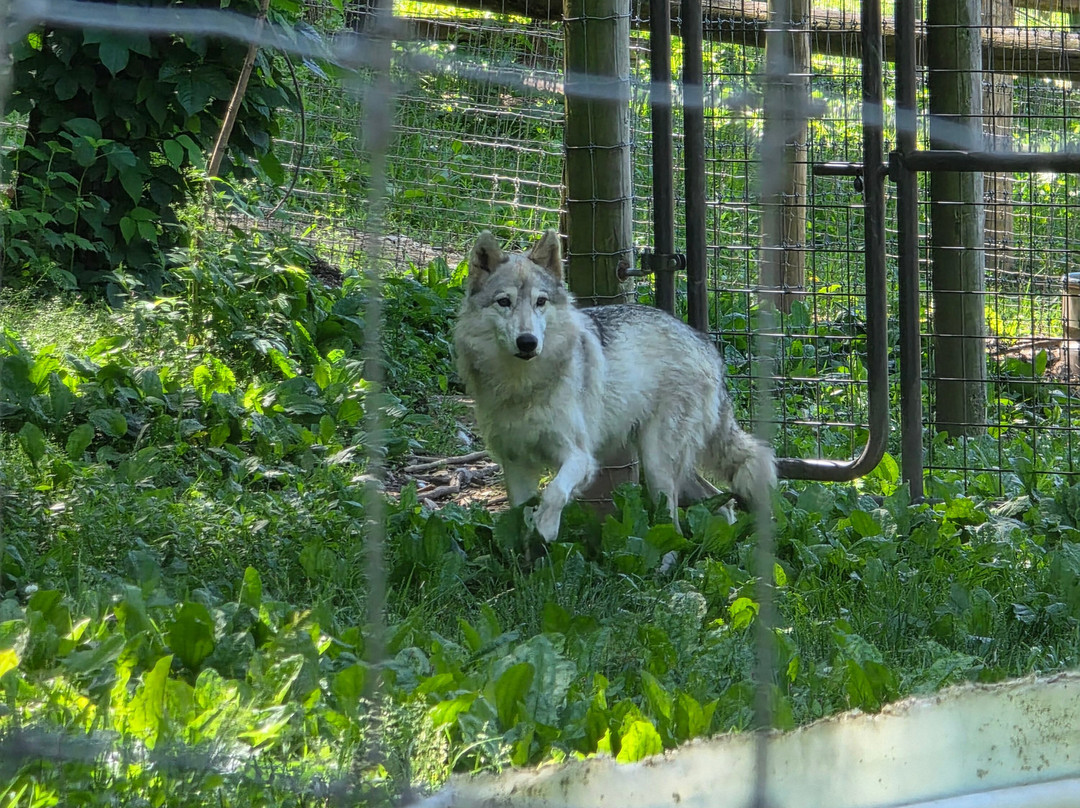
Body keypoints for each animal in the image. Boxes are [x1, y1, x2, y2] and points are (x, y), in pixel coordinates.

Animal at [453, 229, 776, 544]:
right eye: (503, 302)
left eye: (540, 302)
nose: (527, 342)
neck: (522, 384)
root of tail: (705, 343)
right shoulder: (516, 465)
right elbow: (519, 516)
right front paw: (531, 549)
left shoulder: (580, 457)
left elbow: (554, 493)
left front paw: (546, 528)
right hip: (667, 467)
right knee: (721, 501)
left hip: (657, 465)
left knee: (674, 521)